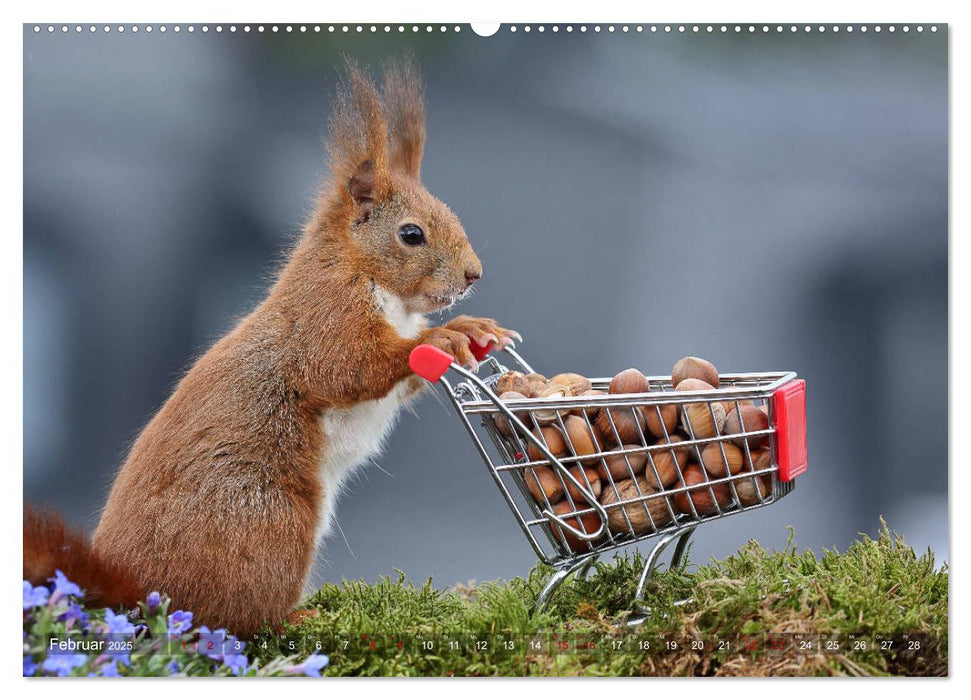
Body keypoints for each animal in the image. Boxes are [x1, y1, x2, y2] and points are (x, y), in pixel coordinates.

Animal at [22, 63, 520, 636]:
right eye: (411, 234)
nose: (473, 275)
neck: (379, 286)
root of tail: (135, 591)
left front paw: (475, 329)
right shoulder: (325, 317)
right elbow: (347, 365)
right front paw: (443, 336)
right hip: (268, 520)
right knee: (238, 617)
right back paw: (296, 616)